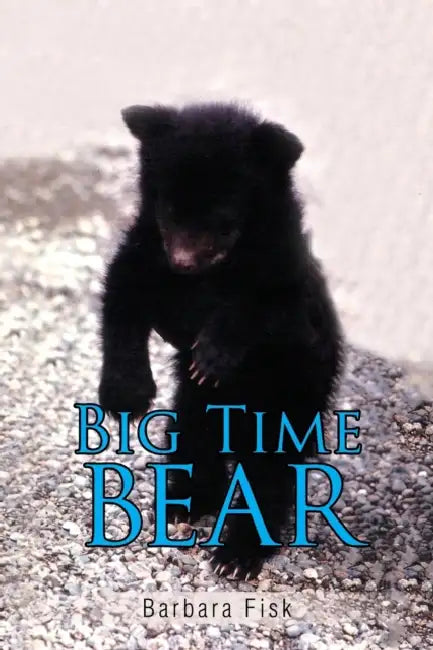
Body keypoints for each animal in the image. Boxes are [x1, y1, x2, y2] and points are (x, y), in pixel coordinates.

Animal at [98, 102, 344, 579]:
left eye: (224, 221)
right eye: (168, 210)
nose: (182, 262)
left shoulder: (287, 282)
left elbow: (259, 309)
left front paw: (213, 355)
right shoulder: (144, 255)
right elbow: (122, 302)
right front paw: (125, 393)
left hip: (290, 400)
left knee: (268, 474)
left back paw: (238, 555)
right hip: (196, 406)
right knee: (196, 440)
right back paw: (186, 502)